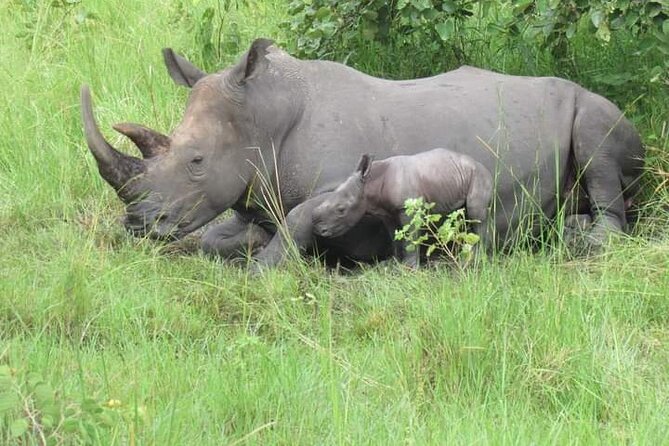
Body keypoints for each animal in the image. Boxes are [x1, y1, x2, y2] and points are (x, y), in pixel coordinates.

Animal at [311, 150, 493, 267]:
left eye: (341, 210)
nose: (320, 230)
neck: (369, 183)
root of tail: (484, 167)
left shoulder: (407, 208)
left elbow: (410, 236)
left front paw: (410, 267)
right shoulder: (387, 212)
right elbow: (395, 236)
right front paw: (392, 263)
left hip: (480, 176)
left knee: (476, 214)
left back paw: (474, 261)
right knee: (466, 215)